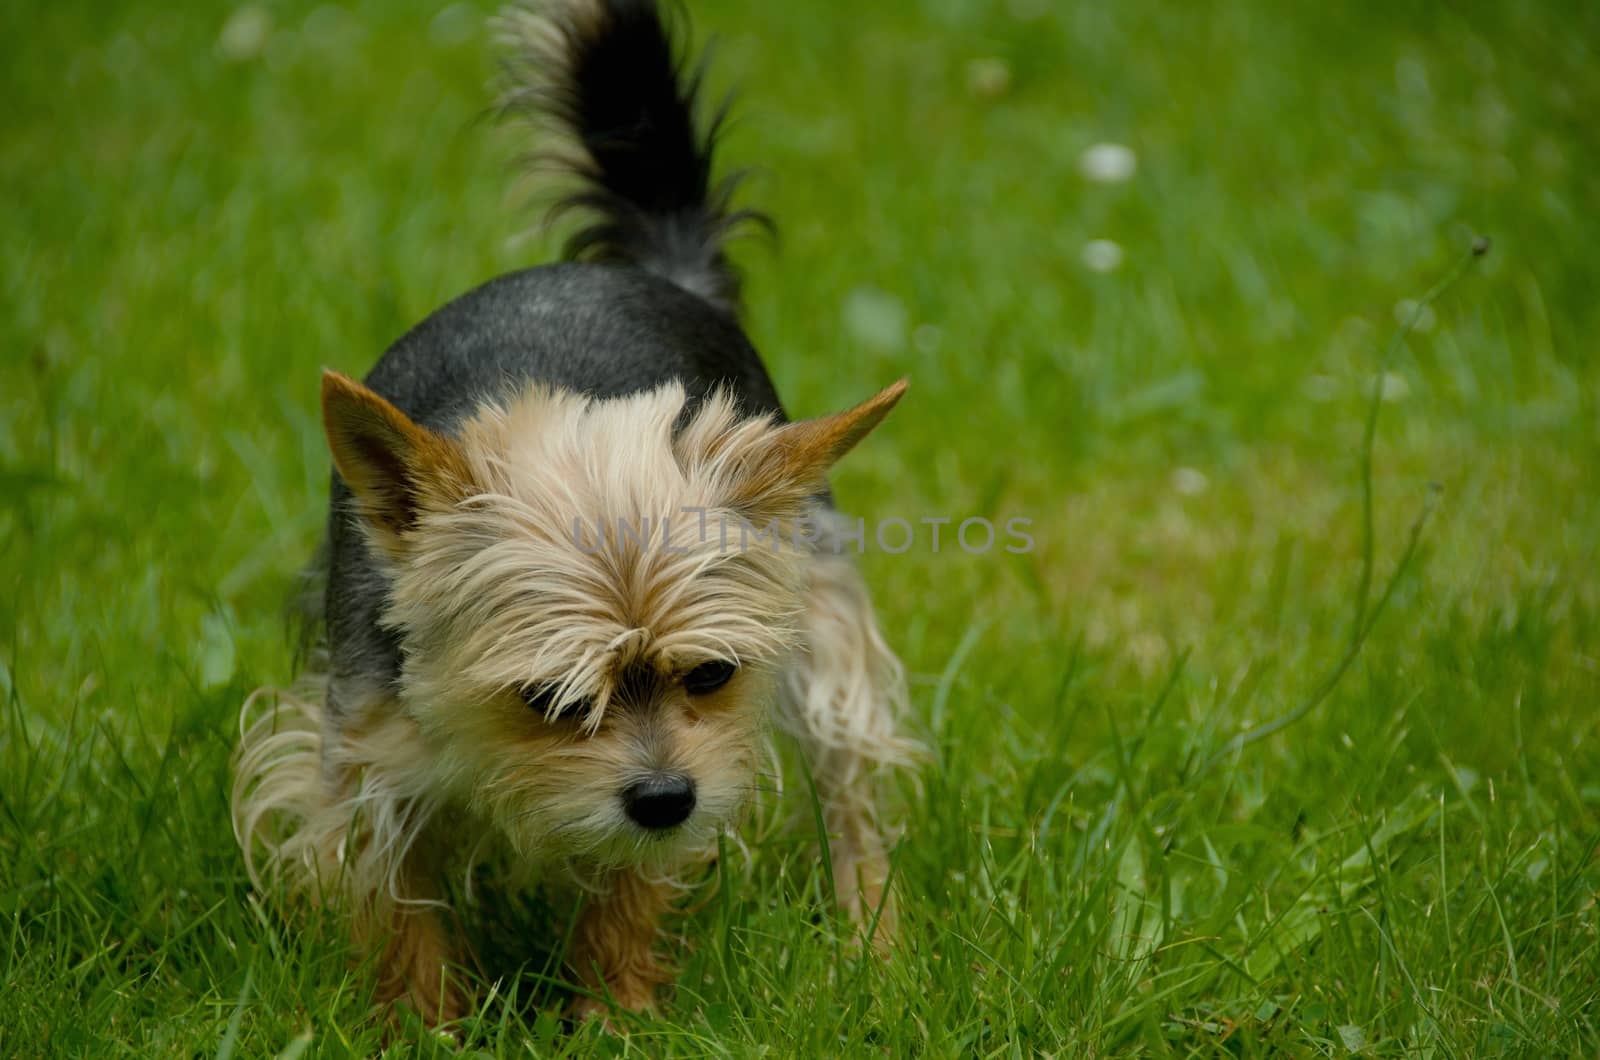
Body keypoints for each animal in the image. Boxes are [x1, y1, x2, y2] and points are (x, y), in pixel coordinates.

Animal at [232, 0, 921, 1031]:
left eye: (712, 675)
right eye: (548, 698)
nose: (666, 799)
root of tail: (663, 272)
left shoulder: (696, 761)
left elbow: (627, 890)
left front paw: (616, 1015)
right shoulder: (365, 755)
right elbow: (400, 904)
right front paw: (427, 1026)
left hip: (825, 621)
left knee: (848, 788)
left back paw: (869, 941)